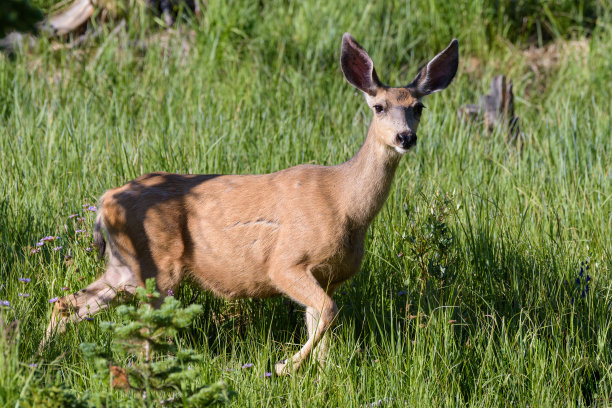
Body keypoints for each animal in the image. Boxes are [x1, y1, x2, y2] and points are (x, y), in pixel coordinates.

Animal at [45, 33, 456, 374]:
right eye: (379, 106)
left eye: (418, 107)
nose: (405, 138)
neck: (346, 205)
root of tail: (104, 202)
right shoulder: (286, 262)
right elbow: (328, 312)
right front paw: (285, 365)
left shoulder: (330, 275)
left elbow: (322, 321)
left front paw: (320, 374)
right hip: (157, 266)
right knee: (140, 326)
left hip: (124, 266)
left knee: (65, 303)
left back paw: (44, 353)